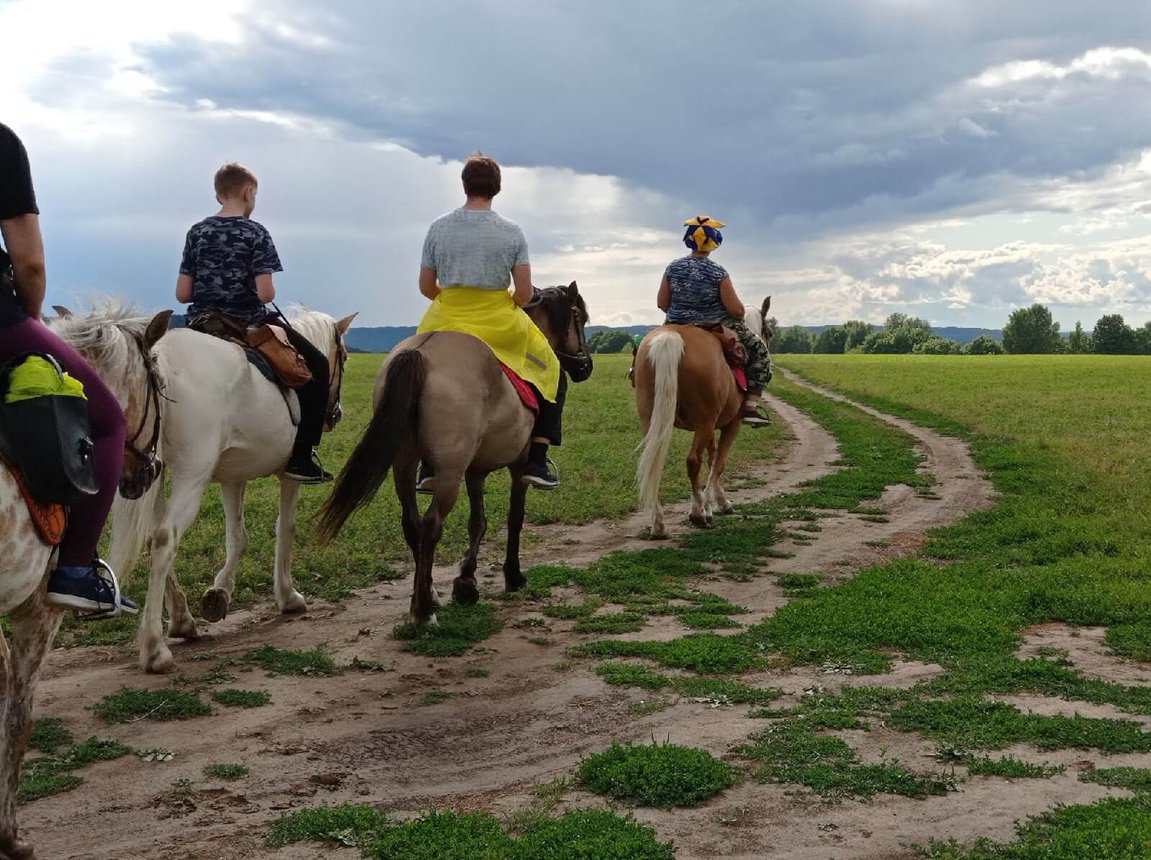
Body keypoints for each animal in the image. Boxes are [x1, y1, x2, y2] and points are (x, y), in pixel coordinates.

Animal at [108, 308, 352, 672]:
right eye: (344, 358)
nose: (335, 414)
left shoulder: (232, 478)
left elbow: (237, 537)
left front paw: (218, 595)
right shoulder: (289, 475)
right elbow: (286, 528)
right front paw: (288, 596)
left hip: (151, 472)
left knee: (153, 536)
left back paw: (182, 620)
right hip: (191, 474)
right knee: (165, 538)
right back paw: (154, 647)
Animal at [319, 285, 593, 621]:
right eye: (579, 317)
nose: (586, 366)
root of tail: (420, 352)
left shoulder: (475, 470)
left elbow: (478, 522)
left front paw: (466, 581)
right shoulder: (518, 466)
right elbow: (514, 517)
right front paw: (513, 575)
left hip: (404, 463)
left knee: (411, 524)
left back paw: (428, 595)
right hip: (450, 472)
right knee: (431, 524)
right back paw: (423, 610)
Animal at [630, 297, 773, 538]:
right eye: (769, 332)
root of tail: (671, 338)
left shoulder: (711, 426)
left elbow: (712, 457)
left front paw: (717, 502)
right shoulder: (730, 424)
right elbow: (719, 462)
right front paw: (711, 507)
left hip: (653, 421)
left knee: (652, 462)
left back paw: (659, 524)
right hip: (704, 422)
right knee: (692, 461)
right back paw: (697, 513)